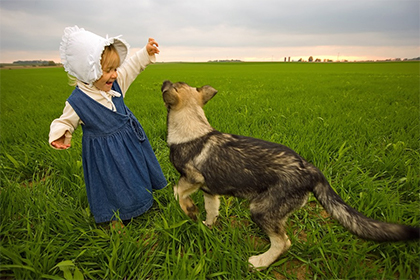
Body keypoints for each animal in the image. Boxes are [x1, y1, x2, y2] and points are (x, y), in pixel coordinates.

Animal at [161, 80, 420, 270]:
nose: (165, 80)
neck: (193, 126)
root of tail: (310, 169)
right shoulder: (209, 190)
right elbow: (211, 210)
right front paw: (205, 223)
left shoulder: (193, 178)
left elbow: (177, 191)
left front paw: (189, 210)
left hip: (261, 210)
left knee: (283, 242)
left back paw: (260, 263)